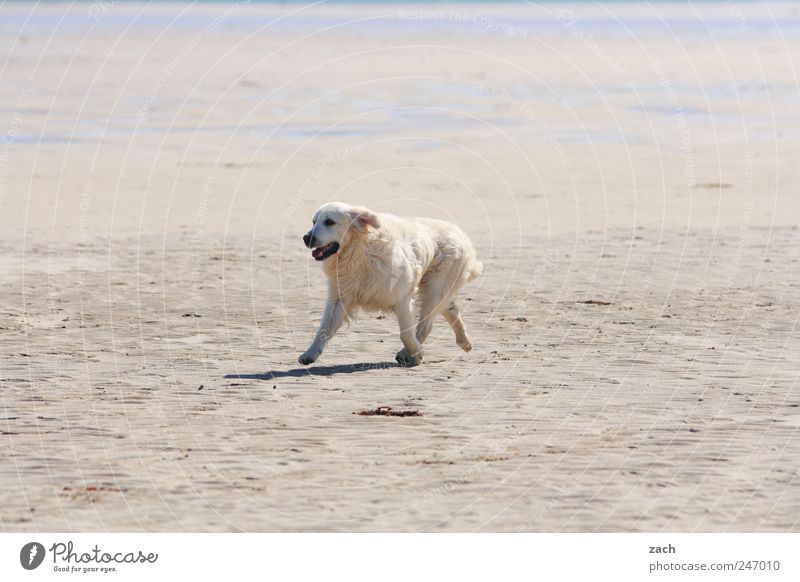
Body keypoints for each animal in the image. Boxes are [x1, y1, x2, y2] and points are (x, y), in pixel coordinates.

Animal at [300, 203, 482, 368]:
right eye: (314, 222)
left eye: (329, 222)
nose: (306, 237)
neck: (359, 251)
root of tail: (460, 233)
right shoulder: (340, 297)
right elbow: (324, 329)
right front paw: (309, 354)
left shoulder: (403, 299)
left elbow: (405, 334)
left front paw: (416, 354)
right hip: (436, 289)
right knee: (450, 309)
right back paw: (464, 342)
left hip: (434, 288)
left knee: (426, 325)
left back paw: (407, 353)